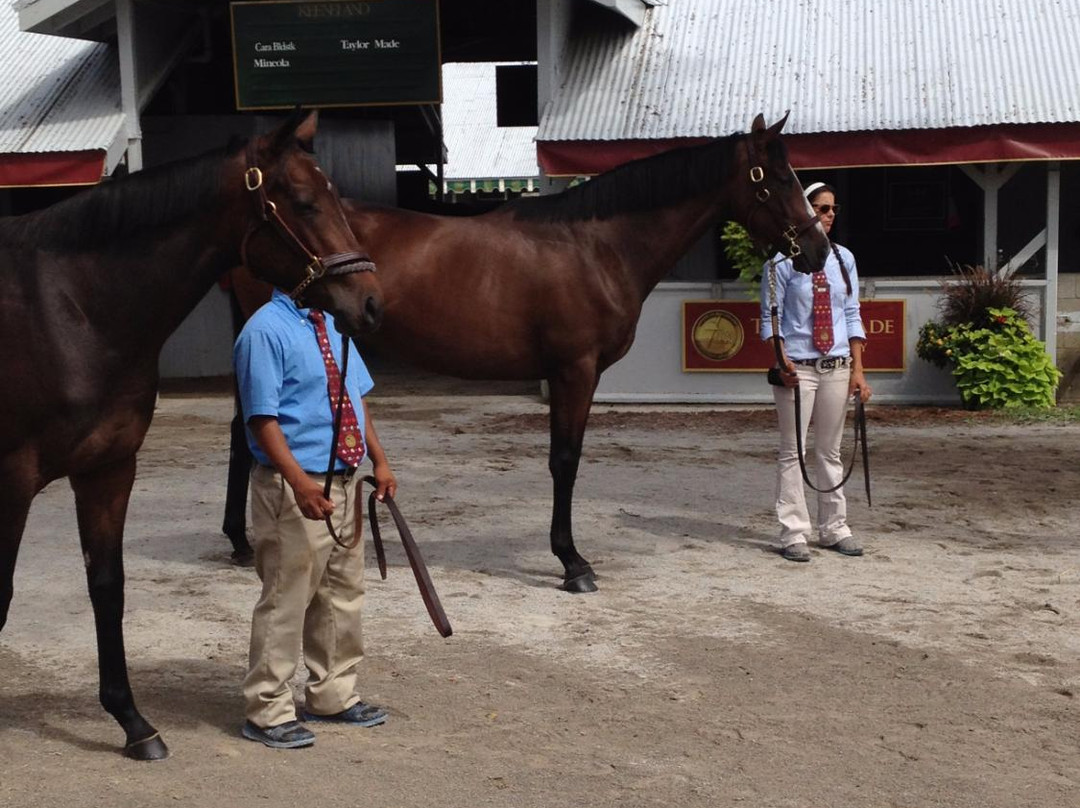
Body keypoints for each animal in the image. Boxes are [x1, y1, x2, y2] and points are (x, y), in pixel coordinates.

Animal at [0, 110, 384, 760]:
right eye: (304, 202)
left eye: (336, 198)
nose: (371, 302)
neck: (69, 308)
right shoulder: (11, 479)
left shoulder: (108, 469)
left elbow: (107, 587)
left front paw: (133, 723)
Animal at [221, 113, 828, 593]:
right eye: (777, 179)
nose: (818, 249)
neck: (597, 247)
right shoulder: (573, 371)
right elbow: (565, 462)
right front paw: (572, 563)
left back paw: (241, 540)